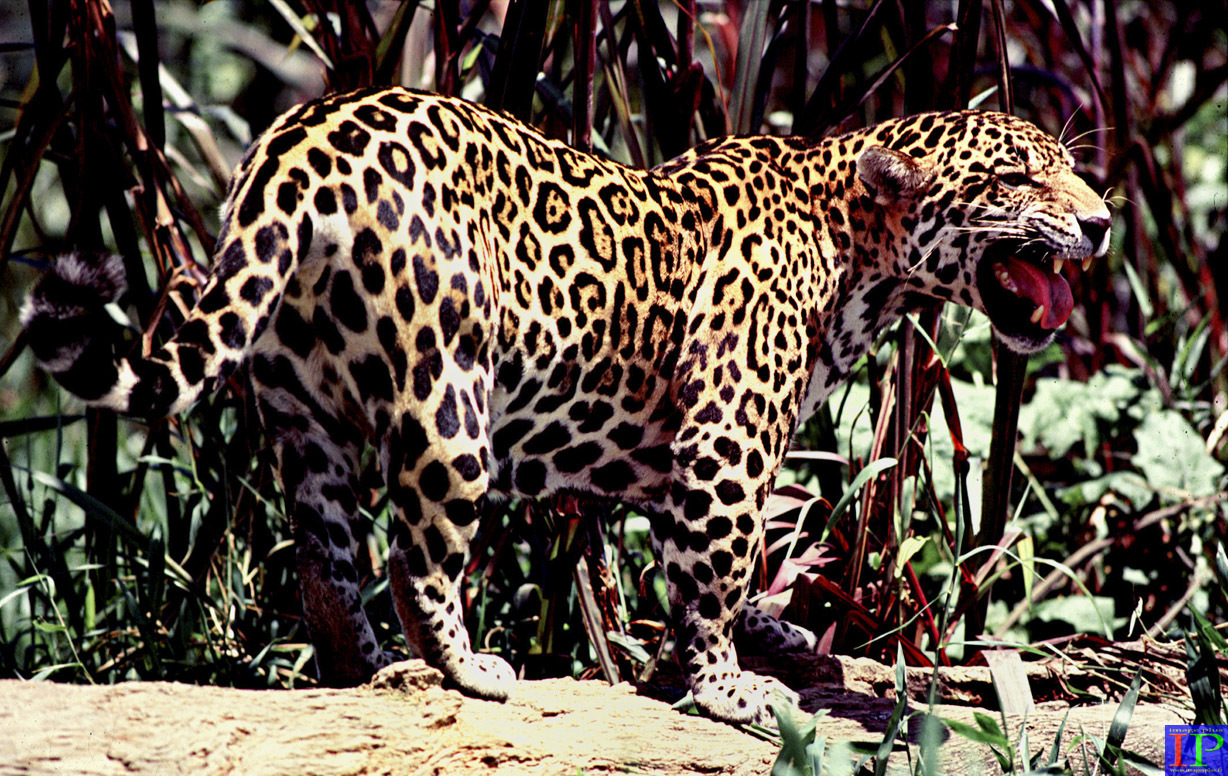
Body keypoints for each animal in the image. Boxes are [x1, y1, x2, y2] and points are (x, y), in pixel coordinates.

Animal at [22, 85, 1111, 727]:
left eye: (1067, 164)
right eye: (1018, 176)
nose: (1101, 221)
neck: (859, 254)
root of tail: (295, 144)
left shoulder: (679, 454)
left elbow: (700, 565)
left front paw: (774, 638)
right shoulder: (723, 439)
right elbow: (716, 569)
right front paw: (729, 687)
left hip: (304, 411)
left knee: (325, 563)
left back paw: (371, 673)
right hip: (449, 399)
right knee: (415, 555)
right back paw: (466, 669)